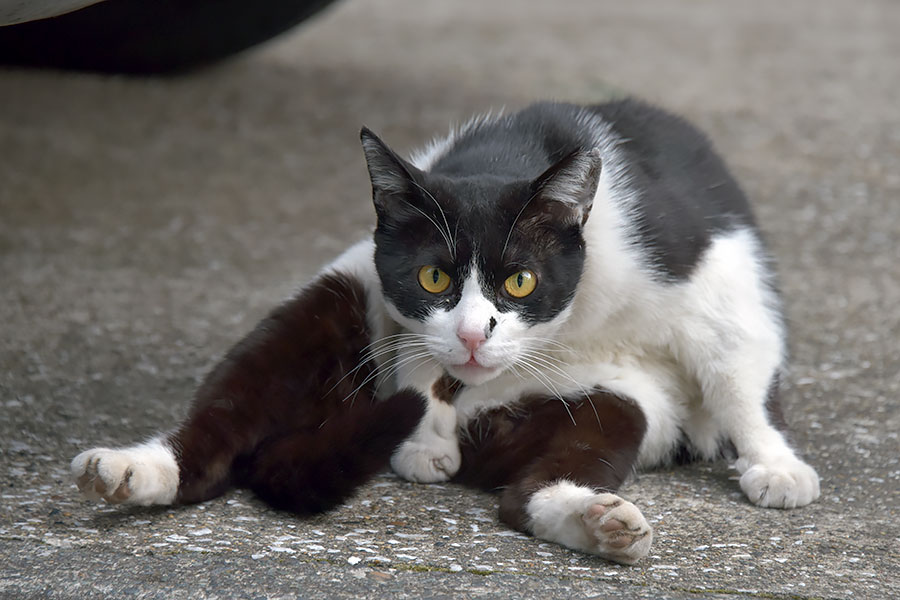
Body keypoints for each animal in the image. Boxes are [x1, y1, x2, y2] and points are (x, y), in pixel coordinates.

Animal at [72, 98, 816, 564]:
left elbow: (740, 376)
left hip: (614, 399)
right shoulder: (388, 289)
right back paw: (132, 471)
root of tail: (487, 427)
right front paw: (424, 435)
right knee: (223, 427)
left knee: (530, 492)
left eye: (520, 282)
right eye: (433, 278)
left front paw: (775, 464)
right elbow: (416, 354)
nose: (474, 337)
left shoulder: (714, 271)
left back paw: (600, 523)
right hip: (332, 299)